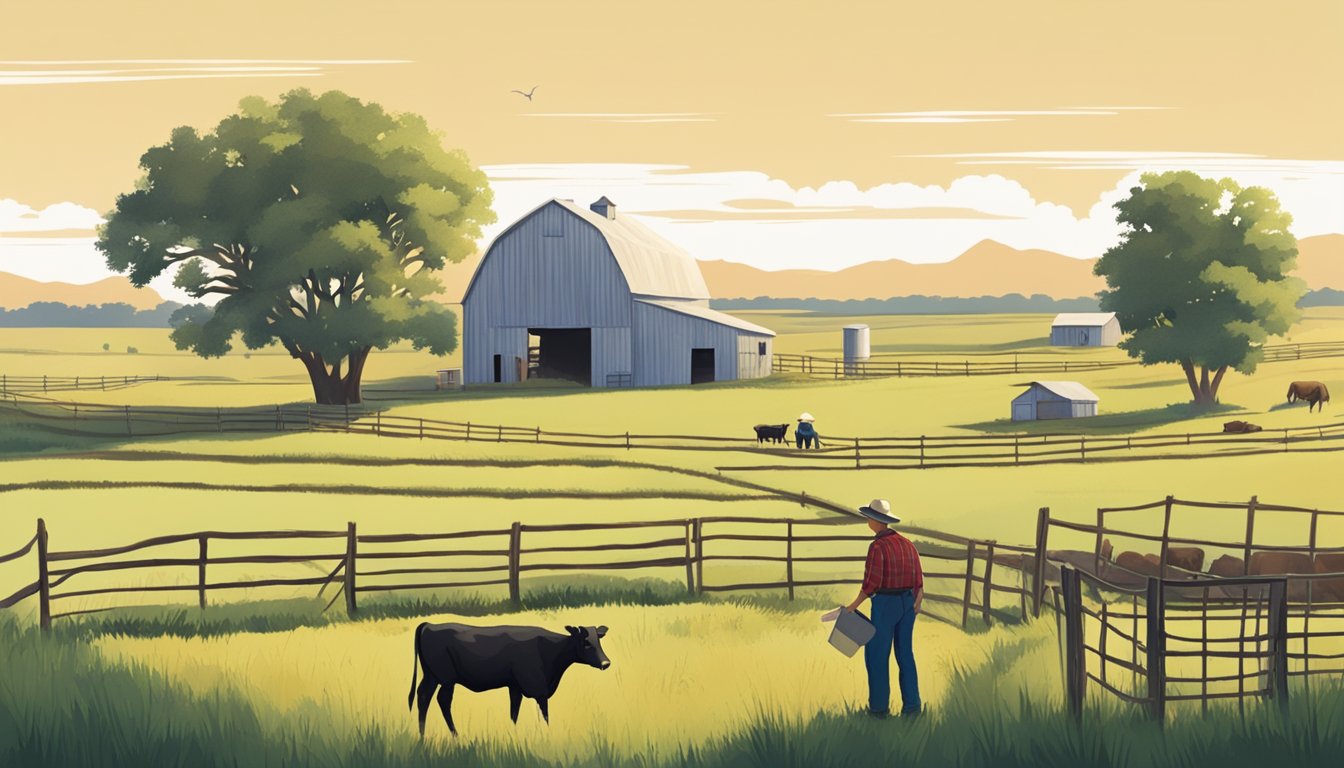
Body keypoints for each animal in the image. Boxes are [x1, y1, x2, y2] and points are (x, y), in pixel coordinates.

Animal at [405, 621, 612, 737]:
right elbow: (544, 715)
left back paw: (422, 736)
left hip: (431, 676)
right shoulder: (539, 689)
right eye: (586, 642)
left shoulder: (515, 687)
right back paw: (455, 735)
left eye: (599, 640)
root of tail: (429, 625)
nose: (606, 662)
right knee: (442, 700)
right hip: (447, 678)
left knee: (423, 697)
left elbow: (514, 712)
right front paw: (548, 736)